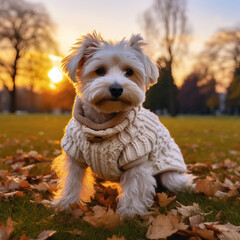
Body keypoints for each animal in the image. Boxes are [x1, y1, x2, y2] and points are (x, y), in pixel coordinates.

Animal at [52, 31, 189, 218]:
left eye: (129, 72)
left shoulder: (136, 159)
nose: (116, 88)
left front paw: (130, 213)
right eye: (99, 70)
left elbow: (133, 189)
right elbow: (72, 182)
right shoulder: (75, 157)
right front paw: (66, 204)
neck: (103, 124)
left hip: (171, 177)